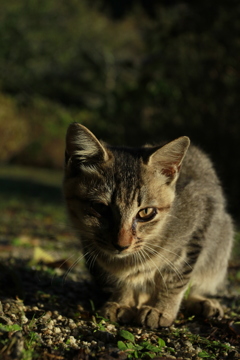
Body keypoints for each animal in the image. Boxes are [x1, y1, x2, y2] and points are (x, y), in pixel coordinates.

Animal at [63, 122, 232, 328]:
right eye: (100, 207)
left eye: (146, 212)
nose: (121, 244)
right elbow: (121, 280)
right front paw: (123, 301)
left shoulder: (197, 230)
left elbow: (176, 279)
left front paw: (161, 309)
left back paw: (202, 302)